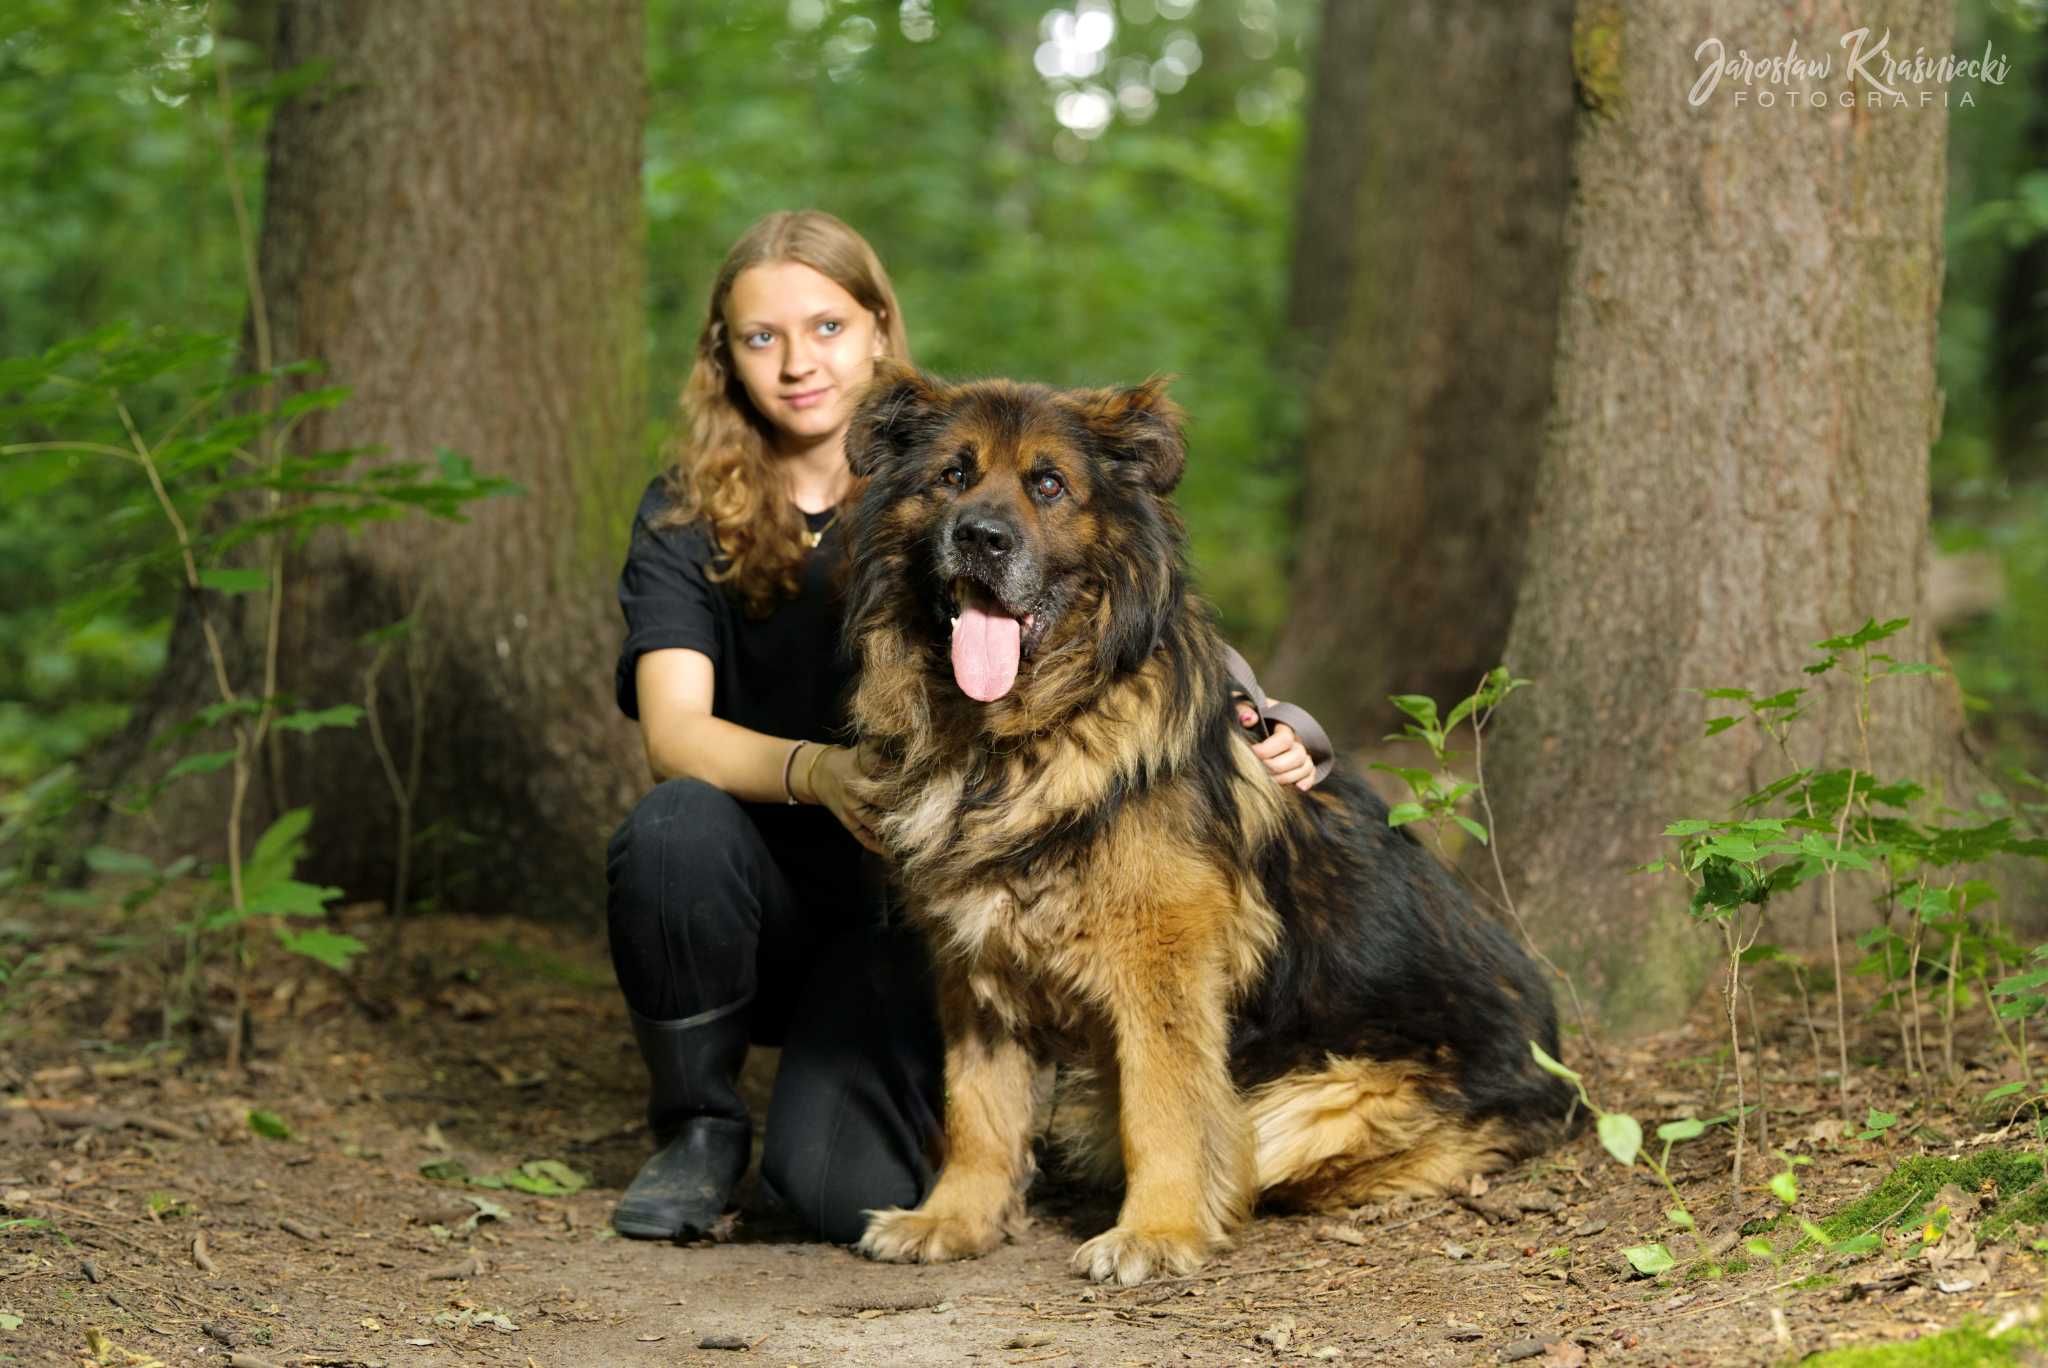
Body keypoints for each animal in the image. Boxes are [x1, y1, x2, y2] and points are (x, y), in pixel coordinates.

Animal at [839, 362, 1572, 1286]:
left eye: (1049, 484)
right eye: (952, 476)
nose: (981, 538)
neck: (1019, 737)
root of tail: (1562, 1069)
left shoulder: (1164, 959)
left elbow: (1164, 1105)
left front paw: (1157, 1230)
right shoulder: (974, 958)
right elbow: (976, 1103)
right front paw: (954, 1218)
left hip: (1309, 1099)